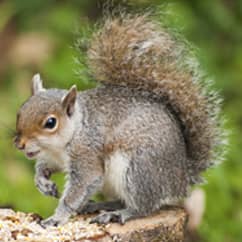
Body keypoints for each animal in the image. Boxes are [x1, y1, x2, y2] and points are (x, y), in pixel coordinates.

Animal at [14, 14, 226, 227]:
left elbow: (83, 185)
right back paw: (99, 206)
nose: (19, 144)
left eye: (50, 123)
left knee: (144, 206)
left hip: (138, 170)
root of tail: (181, 178)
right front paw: (42, 182)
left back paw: (119, 214)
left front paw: (57, 218)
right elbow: (45, 166)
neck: (74, 132)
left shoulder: (87, 155)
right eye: (20, 111)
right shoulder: (54, 157)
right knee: (122, 200)